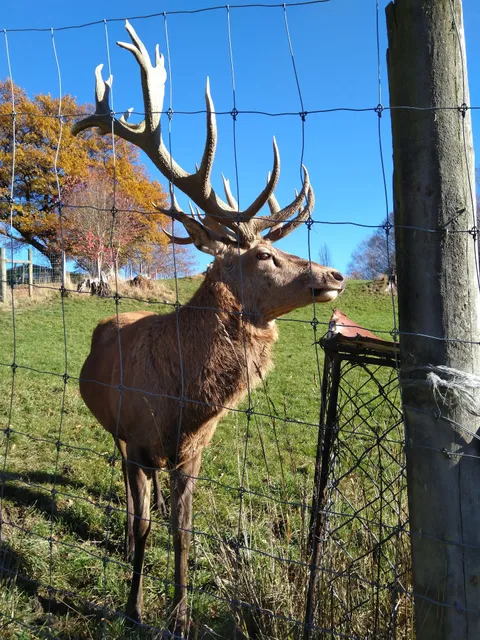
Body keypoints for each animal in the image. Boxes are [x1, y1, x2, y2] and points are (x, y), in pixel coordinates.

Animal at [72, 21, 345, 638]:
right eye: (265, 255)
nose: (336, 275)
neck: (185, 402)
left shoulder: (193, 452)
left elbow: (182, 534)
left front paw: (179, 614)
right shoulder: (138, 437)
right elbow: (146, 526)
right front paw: (133, 607)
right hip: (114, 431)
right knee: (128, 495)